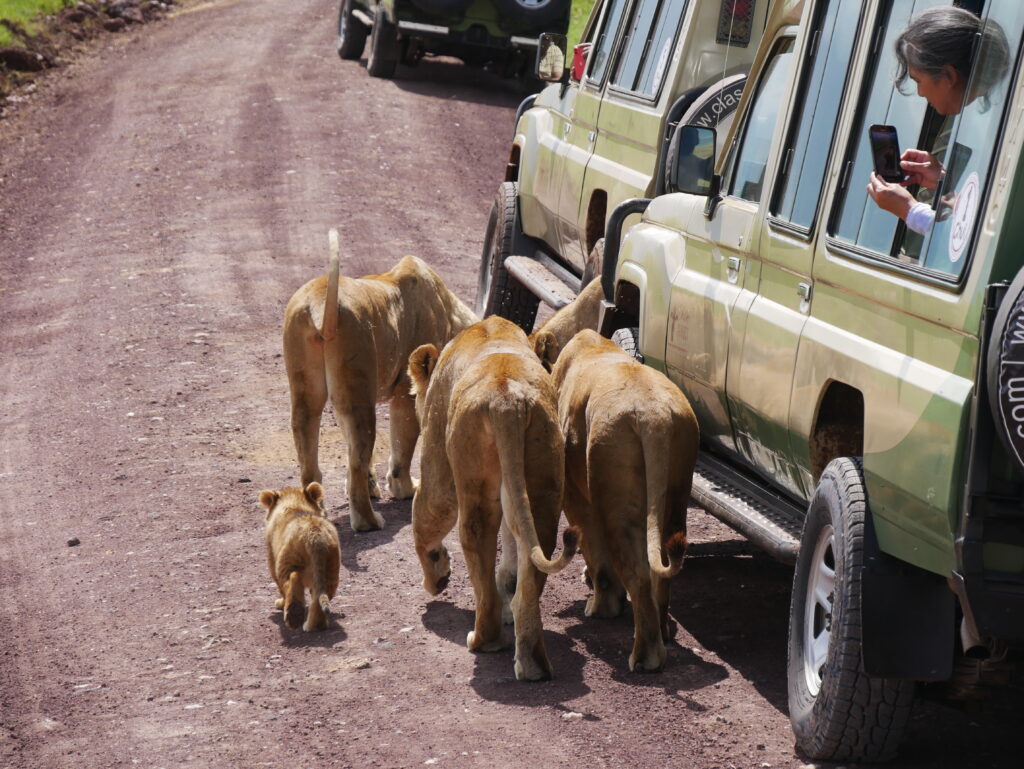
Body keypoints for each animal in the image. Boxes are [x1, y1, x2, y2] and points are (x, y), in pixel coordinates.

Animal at [258, 487, 342, 630]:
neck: (294, 503)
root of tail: (315, 535)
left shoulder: (271, 558)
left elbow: (281, 590)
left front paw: (280, 603)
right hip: (331, 567)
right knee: (318, 597)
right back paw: (313, 626)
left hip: (286, 561)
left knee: (292, 579)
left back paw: (293, 617)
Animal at [282, 227, 477, 528]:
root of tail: (319, 302)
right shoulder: (406, 392)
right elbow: (402, 445)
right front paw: (405, 489)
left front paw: (374, 486)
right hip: (359, 386)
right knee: (357, 461)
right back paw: (369, 521)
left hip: (313, 390)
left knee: (310, 449)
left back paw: (316, 509)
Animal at [409, 315, 585, 684]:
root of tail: (507, 402)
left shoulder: (436, 458)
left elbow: (427, 519)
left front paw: (436, 578)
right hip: (543, 468)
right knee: (534, 550)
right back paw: (532, 662)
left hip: (469, 463)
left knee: (474, 536)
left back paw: (484, 639)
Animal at [540, 327, 700, 671]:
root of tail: (654, 418)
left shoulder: (576, 495)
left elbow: (595, 552)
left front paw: (602, 606)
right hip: (678, 474)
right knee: (663, 559)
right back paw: (662, 632)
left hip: (612, 461)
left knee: (636, 570)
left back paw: (645, 657)